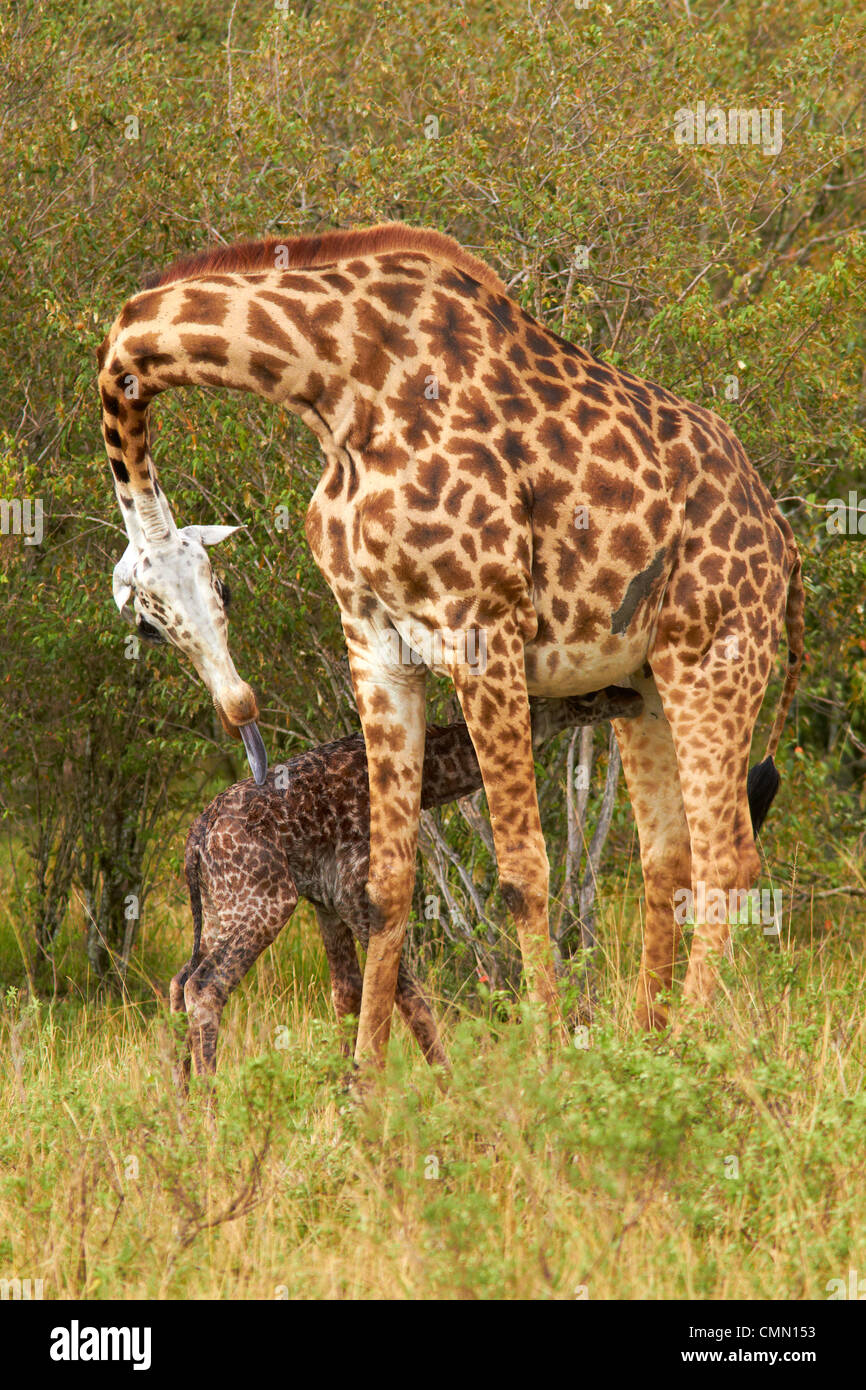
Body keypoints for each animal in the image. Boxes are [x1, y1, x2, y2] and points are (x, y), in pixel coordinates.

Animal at [170, 689, 644, 1078]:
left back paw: (182, 1108)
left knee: (179, 981)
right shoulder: (358, 895)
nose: (631, 695)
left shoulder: (326, 905)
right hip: (265, 901)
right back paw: (210, 1114)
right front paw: (449, 1088)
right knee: (204, 987)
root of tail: (197, 839)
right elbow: (409, 996)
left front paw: (343, 1092)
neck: (425, 781)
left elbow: (346, 996)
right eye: (585, 699)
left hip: (219, 910)